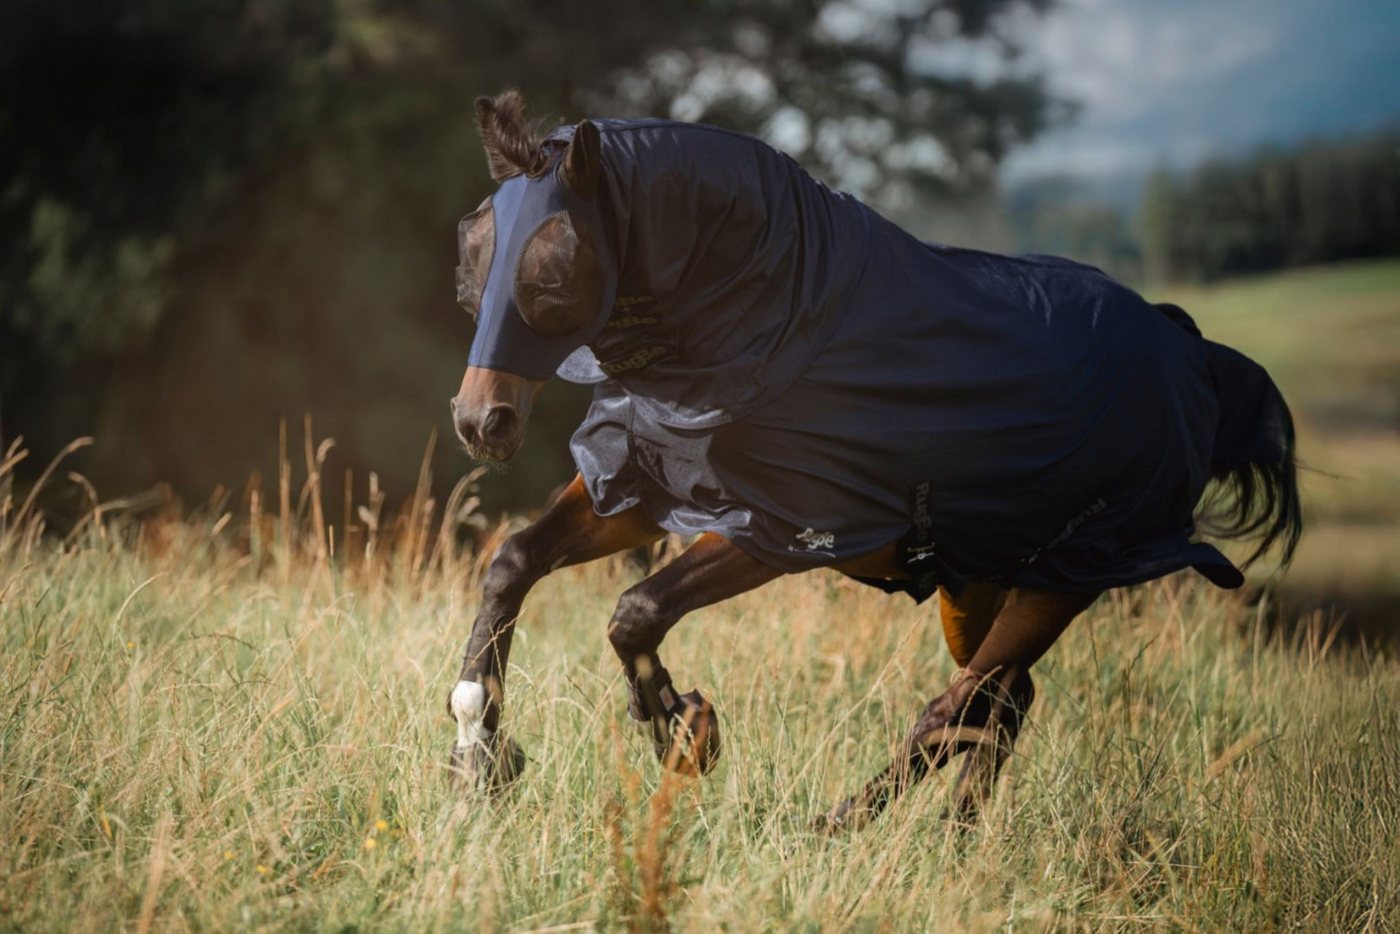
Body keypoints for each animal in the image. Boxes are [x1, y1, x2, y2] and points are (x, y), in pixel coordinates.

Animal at [444, 90, 1302, 830]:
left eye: (554, 272)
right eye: (474, 257)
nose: (481, 420)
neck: (774, 318)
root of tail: (1191, 356)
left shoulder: (781, 533)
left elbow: (636, 612)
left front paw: (686, 733)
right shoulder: (643, 484)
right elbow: (513, 563)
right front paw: (480, 754)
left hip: (1068, 579)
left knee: (954, 710)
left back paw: (836, 829)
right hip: (986, 583)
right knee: (1002, 702)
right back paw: (957, 842)